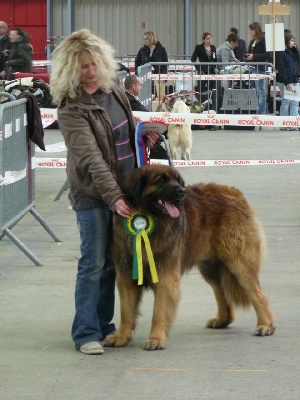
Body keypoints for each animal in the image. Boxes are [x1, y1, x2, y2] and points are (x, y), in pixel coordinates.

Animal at [104, 163, 276, 350]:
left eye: (178, 181)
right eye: (162, 180)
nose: (182, 192)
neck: (152, 220)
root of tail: (235, 193)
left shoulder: (166, 276)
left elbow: (159, 311)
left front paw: (156, 339)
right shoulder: (127, 275)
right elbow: (126, 311)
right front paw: (121, 337)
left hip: (239, 263)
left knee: (258, 294)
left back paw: (265, 325)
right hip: (210, 267)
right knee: (221, 291)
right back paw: (222, 320)